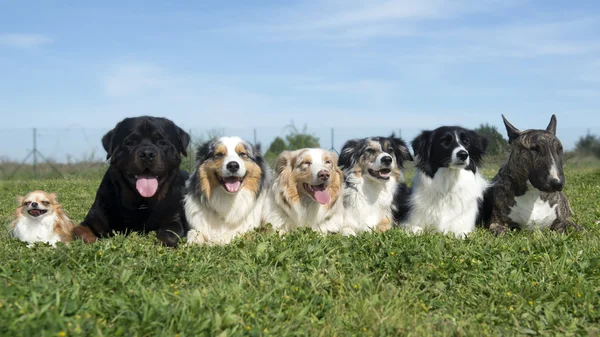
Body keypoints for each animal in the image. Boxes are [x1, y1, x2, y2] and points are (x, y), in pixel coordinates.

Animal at [74, 116, 190, 247]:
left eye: (162, 143)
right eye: (130, 143)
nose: (147, 154)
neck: (142, 203)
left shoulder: (174, 220)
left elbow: (169, 236)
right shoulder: (93, 219)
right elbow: (79, 231)